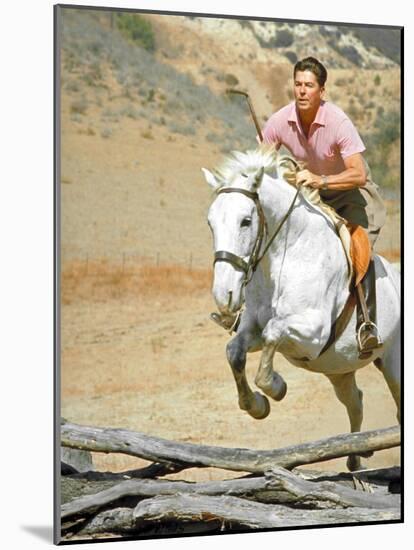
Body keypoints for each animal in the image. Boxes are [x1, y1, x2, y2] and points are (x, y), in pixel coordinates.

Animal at [202, 148, 400, 474]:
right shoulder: (251, 329)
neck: (287, 254)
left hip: (394, 363)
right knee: (355, 402)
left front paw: (275, 387)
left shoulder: (313, 333)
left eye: (246, 221)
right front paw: (257, 405)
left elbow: (274, 332)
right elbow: (234, 352)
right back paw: (356, 458)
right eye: (210, 223)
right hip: (339, 369)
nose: (223, 296)